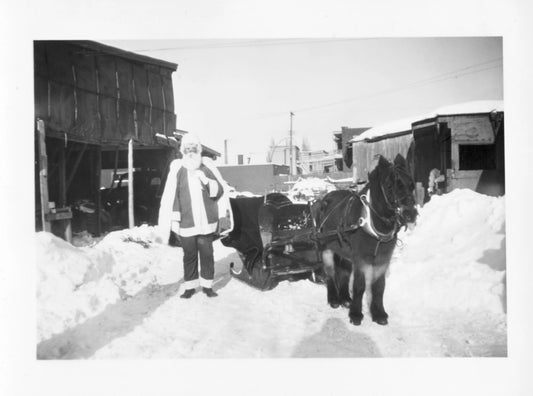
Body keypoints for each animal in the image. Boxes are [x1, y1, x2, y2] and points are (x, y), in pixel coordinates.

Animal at [314, 155, 418, 324]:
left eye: (411, 185)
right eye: (389, 186)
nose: (410, 214)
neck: (371, 222)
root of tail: (324, 198)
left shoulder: (382, 259)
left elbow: (379, 287)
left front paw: (379, 313)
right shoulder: (361, 259)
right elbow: (359, 286)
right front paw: (356, 314)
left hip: (344, 252)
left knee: (343, 272)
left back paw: (345, 299)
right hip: (326, 248)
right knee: (330, 273)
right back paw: (334, 299)